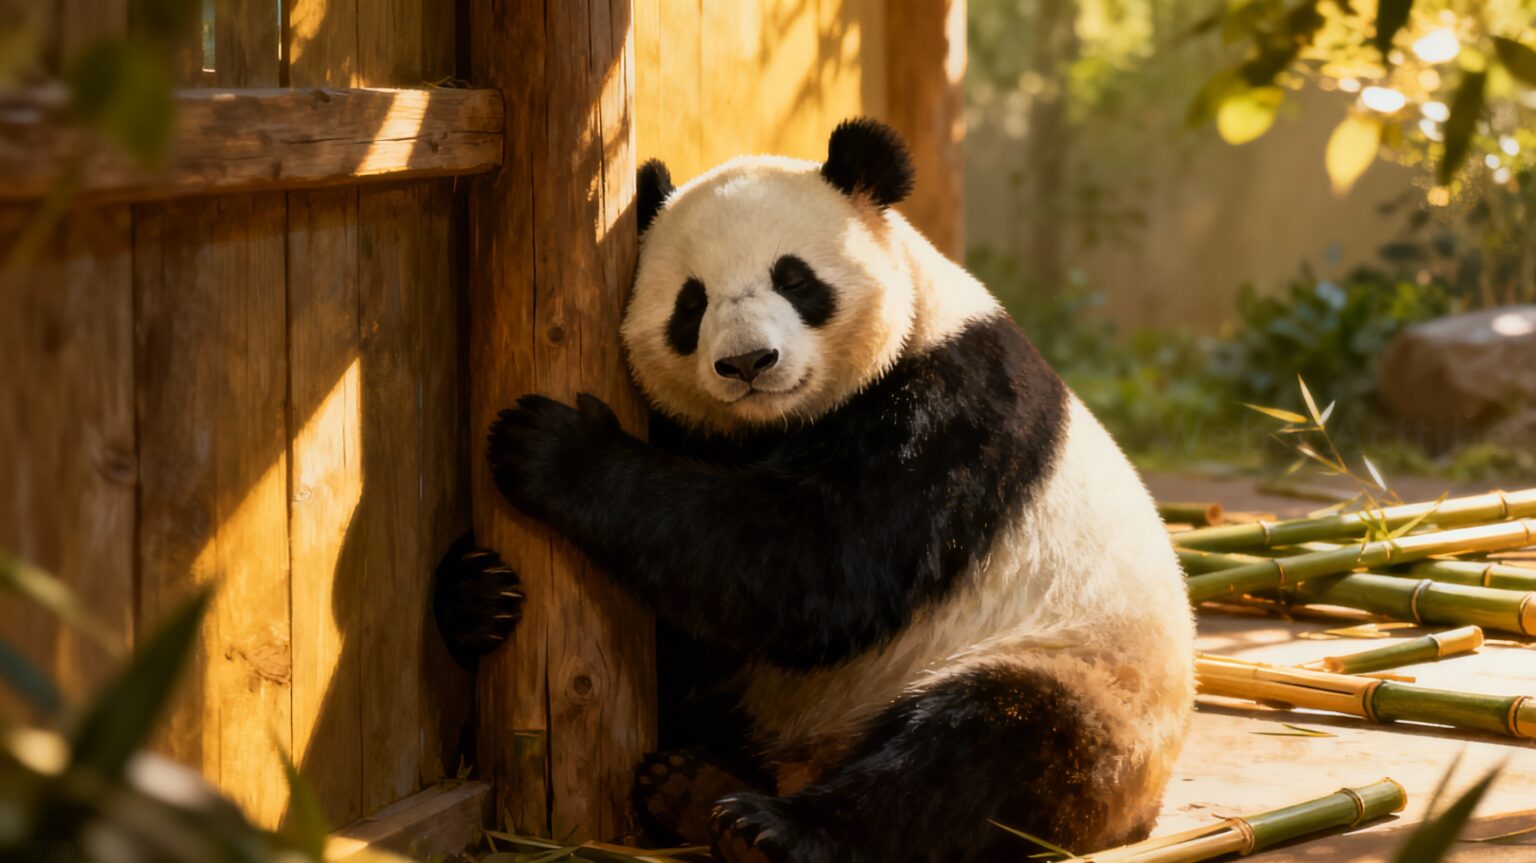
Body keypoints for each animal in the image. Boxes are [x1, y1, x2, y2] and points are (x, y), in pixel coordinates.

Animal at [435, 118, 1195, 863]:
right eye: (691, 302)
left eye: (796, 279)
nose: (748, 362)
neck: (776, 424)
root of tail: (803, 760)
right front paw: (479, 588)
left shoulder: (953, 412)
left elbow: (813, 566)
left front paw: (550, 448)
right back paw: (680, 777)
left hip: (1084, 676)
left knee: (990, 745)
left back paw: (765, 828)